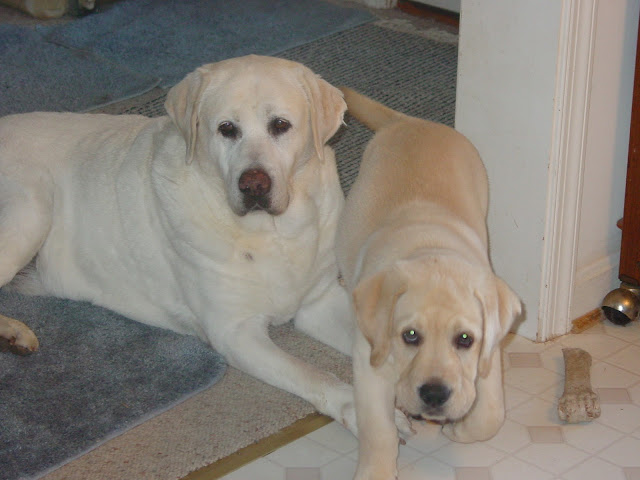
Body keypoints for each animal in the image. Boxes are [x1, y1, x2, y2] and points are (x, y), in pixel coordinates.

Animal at [0, 55, 361, 432]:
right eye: (227, 128)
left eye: (280, 125)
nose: (254, 185)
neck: (273, 233)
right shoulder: (235, 332)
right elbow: (312, 374)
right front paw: (355, 407)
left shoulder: (319, 300)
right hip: (33, 207)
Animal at [335, 88, 522, 480]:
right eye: (410, 336)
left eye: (465, 339)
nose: (435, 396)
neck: (428, 246)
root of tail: (408, 121)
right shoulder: (369, 363)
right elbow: (378, 430)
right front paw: (376, 470)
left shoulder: (489, 354)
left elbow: (490, 415)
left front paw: (459, 429)